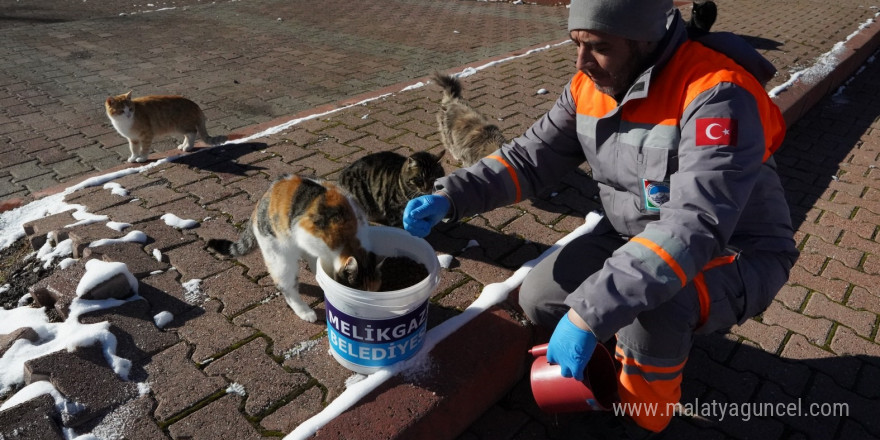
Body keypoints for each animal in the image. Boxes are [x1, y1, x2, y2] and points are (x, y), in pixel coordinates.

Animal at [210, 174, 384, 322]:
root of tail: (262, 200)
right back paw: (304, 311)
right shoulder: (304, 233)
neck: (351, 239)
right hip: (280, 256)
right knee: (287, 287)